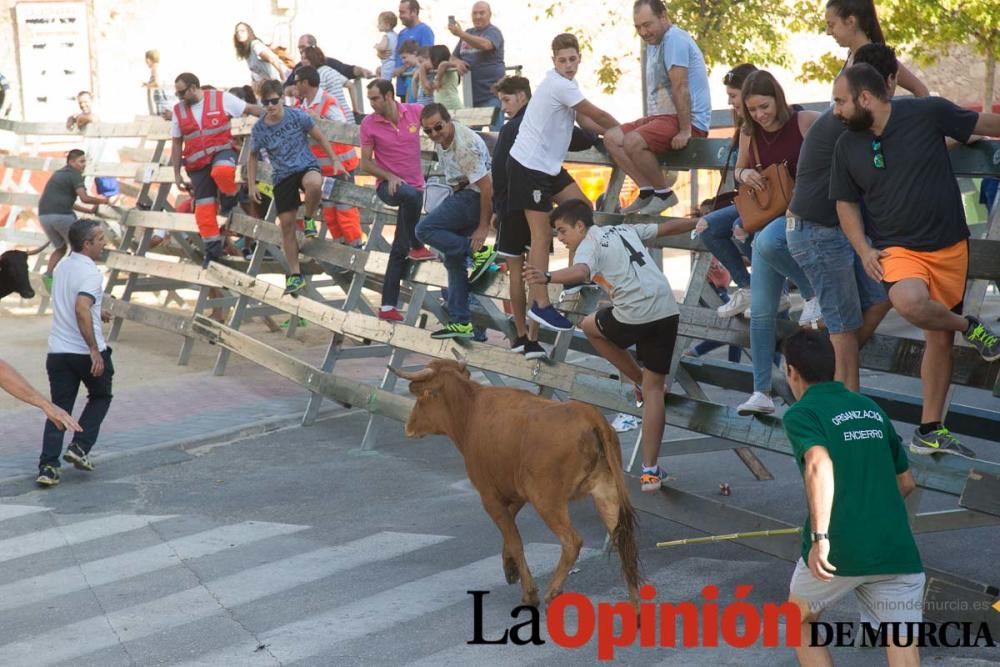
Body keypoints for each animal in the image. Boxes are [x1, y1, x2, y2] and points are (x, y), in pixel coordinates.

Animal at [390, 362, 640, 608]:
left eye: (422, 397)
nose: (408, 426)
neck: (470, 411)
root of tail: (589, 415)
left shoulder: (489, 496)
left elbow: (515, 538)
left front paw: (529, 593)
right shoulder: (517, 492)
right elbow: (509, 530)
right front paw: (509, 567)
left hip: (548, 501)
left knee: (572, 541)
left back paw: (552, 590)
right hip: (606, 493)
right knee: (623, 539)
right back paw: (635, 601)